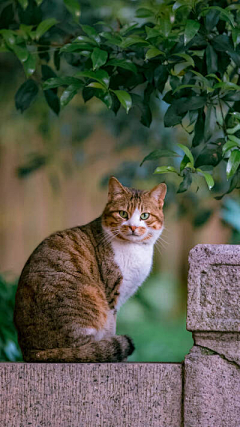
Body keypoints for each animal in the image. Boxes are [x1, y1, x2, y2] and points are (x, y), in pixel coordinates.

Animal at [13, 176, 167, 362]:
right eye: (123, 213)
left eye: (145, 216)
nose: (133, 227)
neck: (135, 249)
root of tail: (30, 351)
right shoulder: (111, 296)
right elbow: (110, 328)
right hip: (88, 295)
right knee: (82, 351)